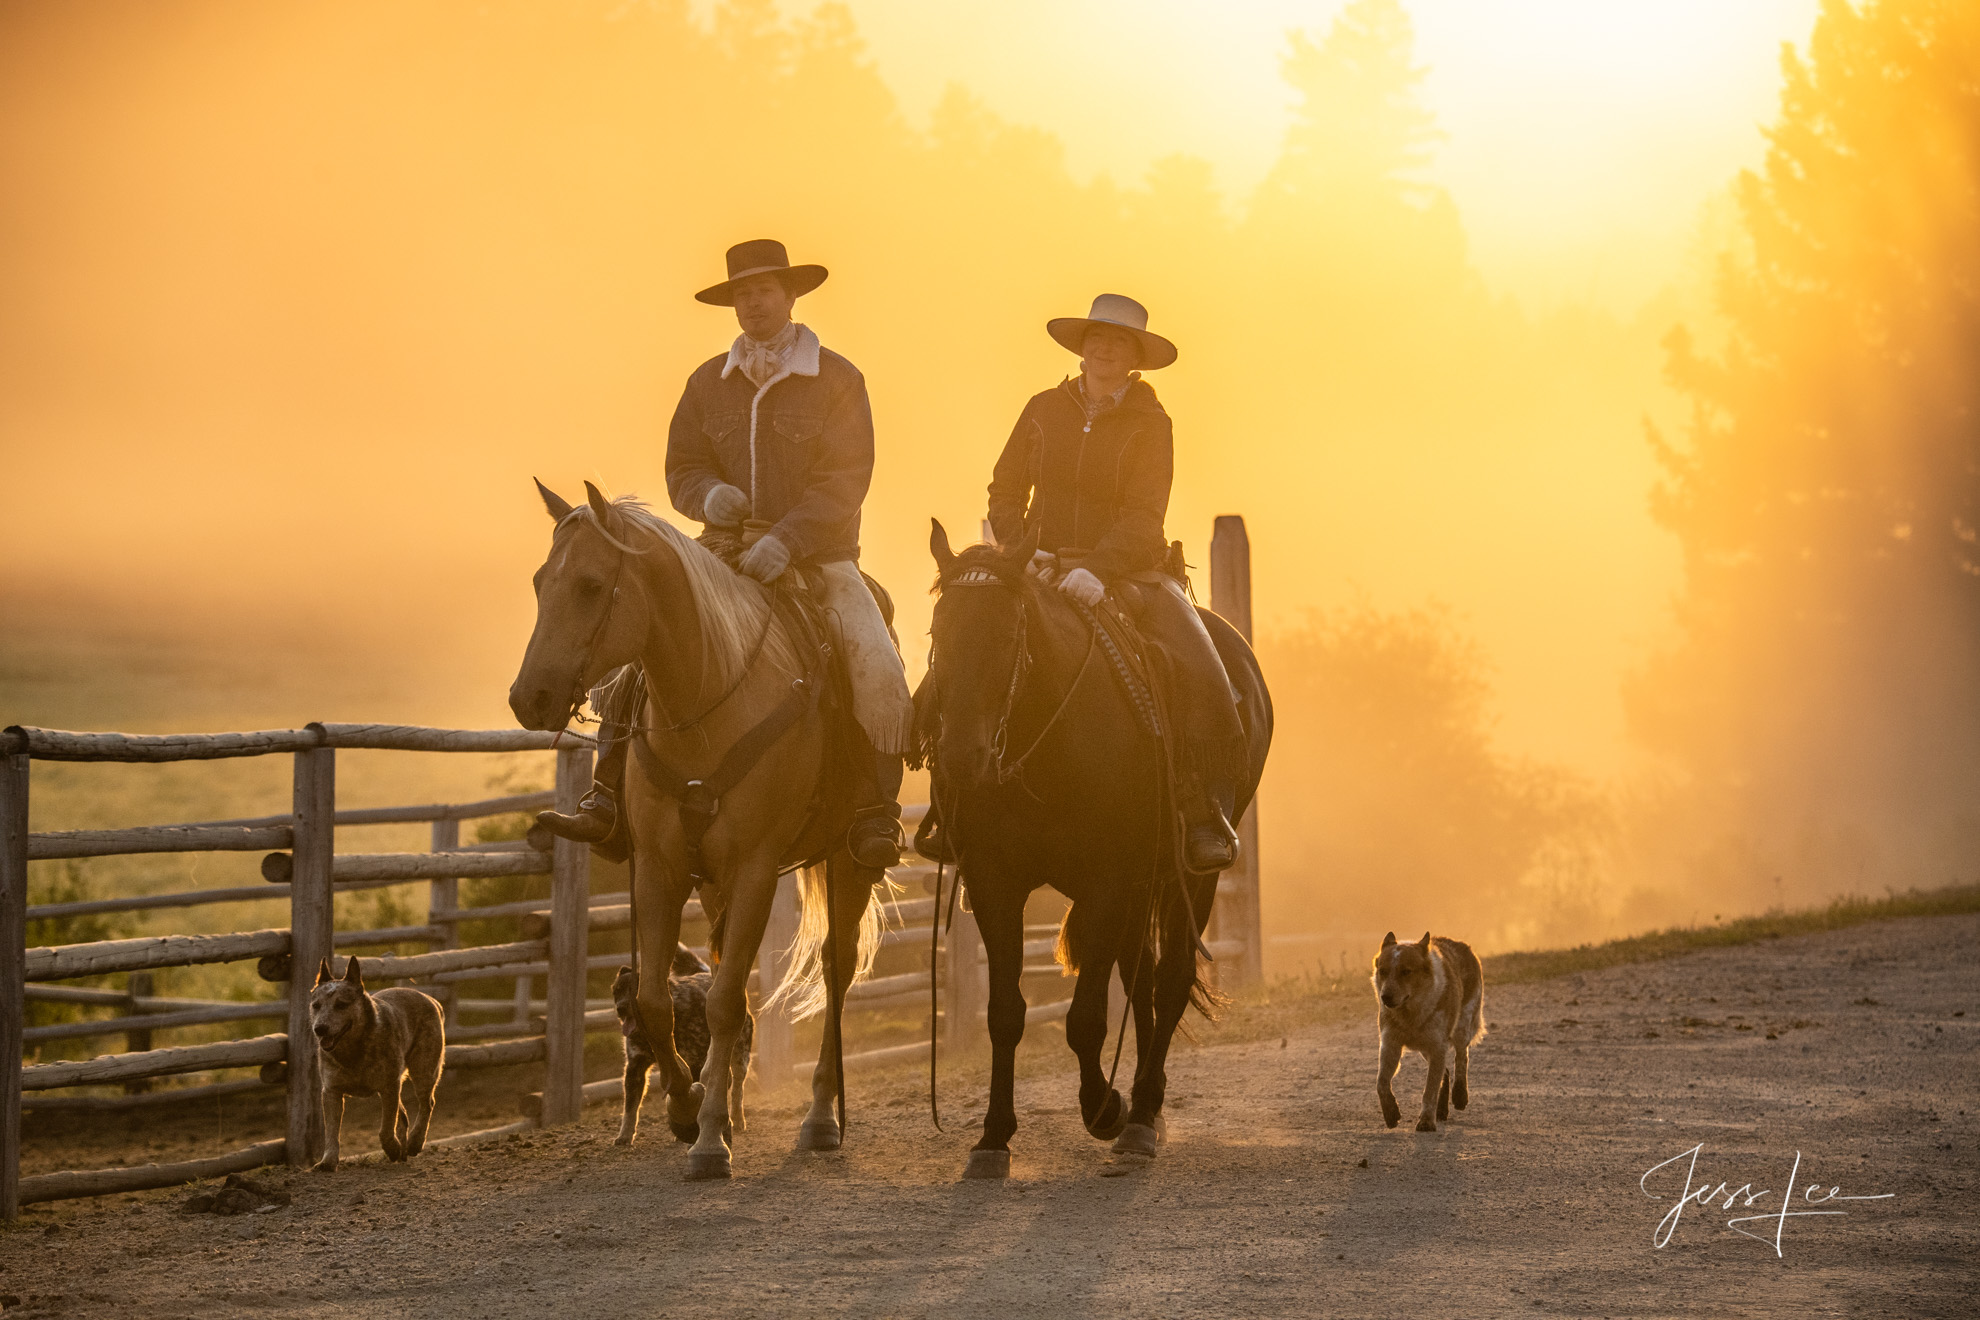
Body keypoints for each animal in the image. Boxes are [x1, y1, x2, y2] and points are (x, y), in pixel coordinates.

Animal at [308, 953, 445, 1171]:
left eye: (341, 1004)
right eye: (316, 1005)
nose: (319, 1028)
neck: (352, 1052)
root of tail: (431, 999)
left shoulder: (389, 1085)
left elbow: (386, 1127)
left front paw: (392, 1148)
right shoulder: (331, 1091)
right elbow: (331, 1130)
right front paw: (328, 1161)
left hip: (424, 1067)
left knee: (426, 1102)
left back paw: (415, 1142)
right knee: (404, 1114)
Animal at [605, 949, 752, 1147]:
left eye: (634, 990)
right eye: (617, 991)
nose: (620, 1008)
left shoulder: (696, 1063)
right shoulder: (636, 1067)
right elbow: (630, 1108)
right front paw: (625, 1135)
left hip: (739, 1057)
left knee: (737, 1089)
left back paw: (737, 1119)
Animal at [918, 522, 1275, 1179]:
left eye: (1008, 634)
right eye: (938, 633)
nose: (960, 761)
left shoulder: (1108, 881)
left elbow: (1085, 1019)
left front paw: (1106, 1109)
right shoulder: (995, 882)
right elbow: (1005, 1013)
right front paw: (993, 1137)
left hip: (1192, 875)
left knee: (1169, 981)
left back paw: (1143, 1114)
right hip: (1142, 885)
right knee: (1142, 982)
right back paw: (1145, 1106)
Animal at [1378, 930, 1488, 1139]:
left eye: (1406, 971)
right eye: (1382, 971)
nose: (1385, 997)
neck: (1410, 1015)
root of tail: (1463, 945)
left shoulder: (1437, 1045)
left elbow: (1429, 1090)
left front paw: (1426, 1122)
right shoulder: (1390, 1044)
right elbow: (1381, 1083)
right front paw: (1391, 1115)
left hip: (1462, 1026)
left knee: (1461, 1058)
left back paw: (1460, 1095)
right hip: (1427, 1048)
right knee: (1445, 1072)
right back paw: (1442, 1111)